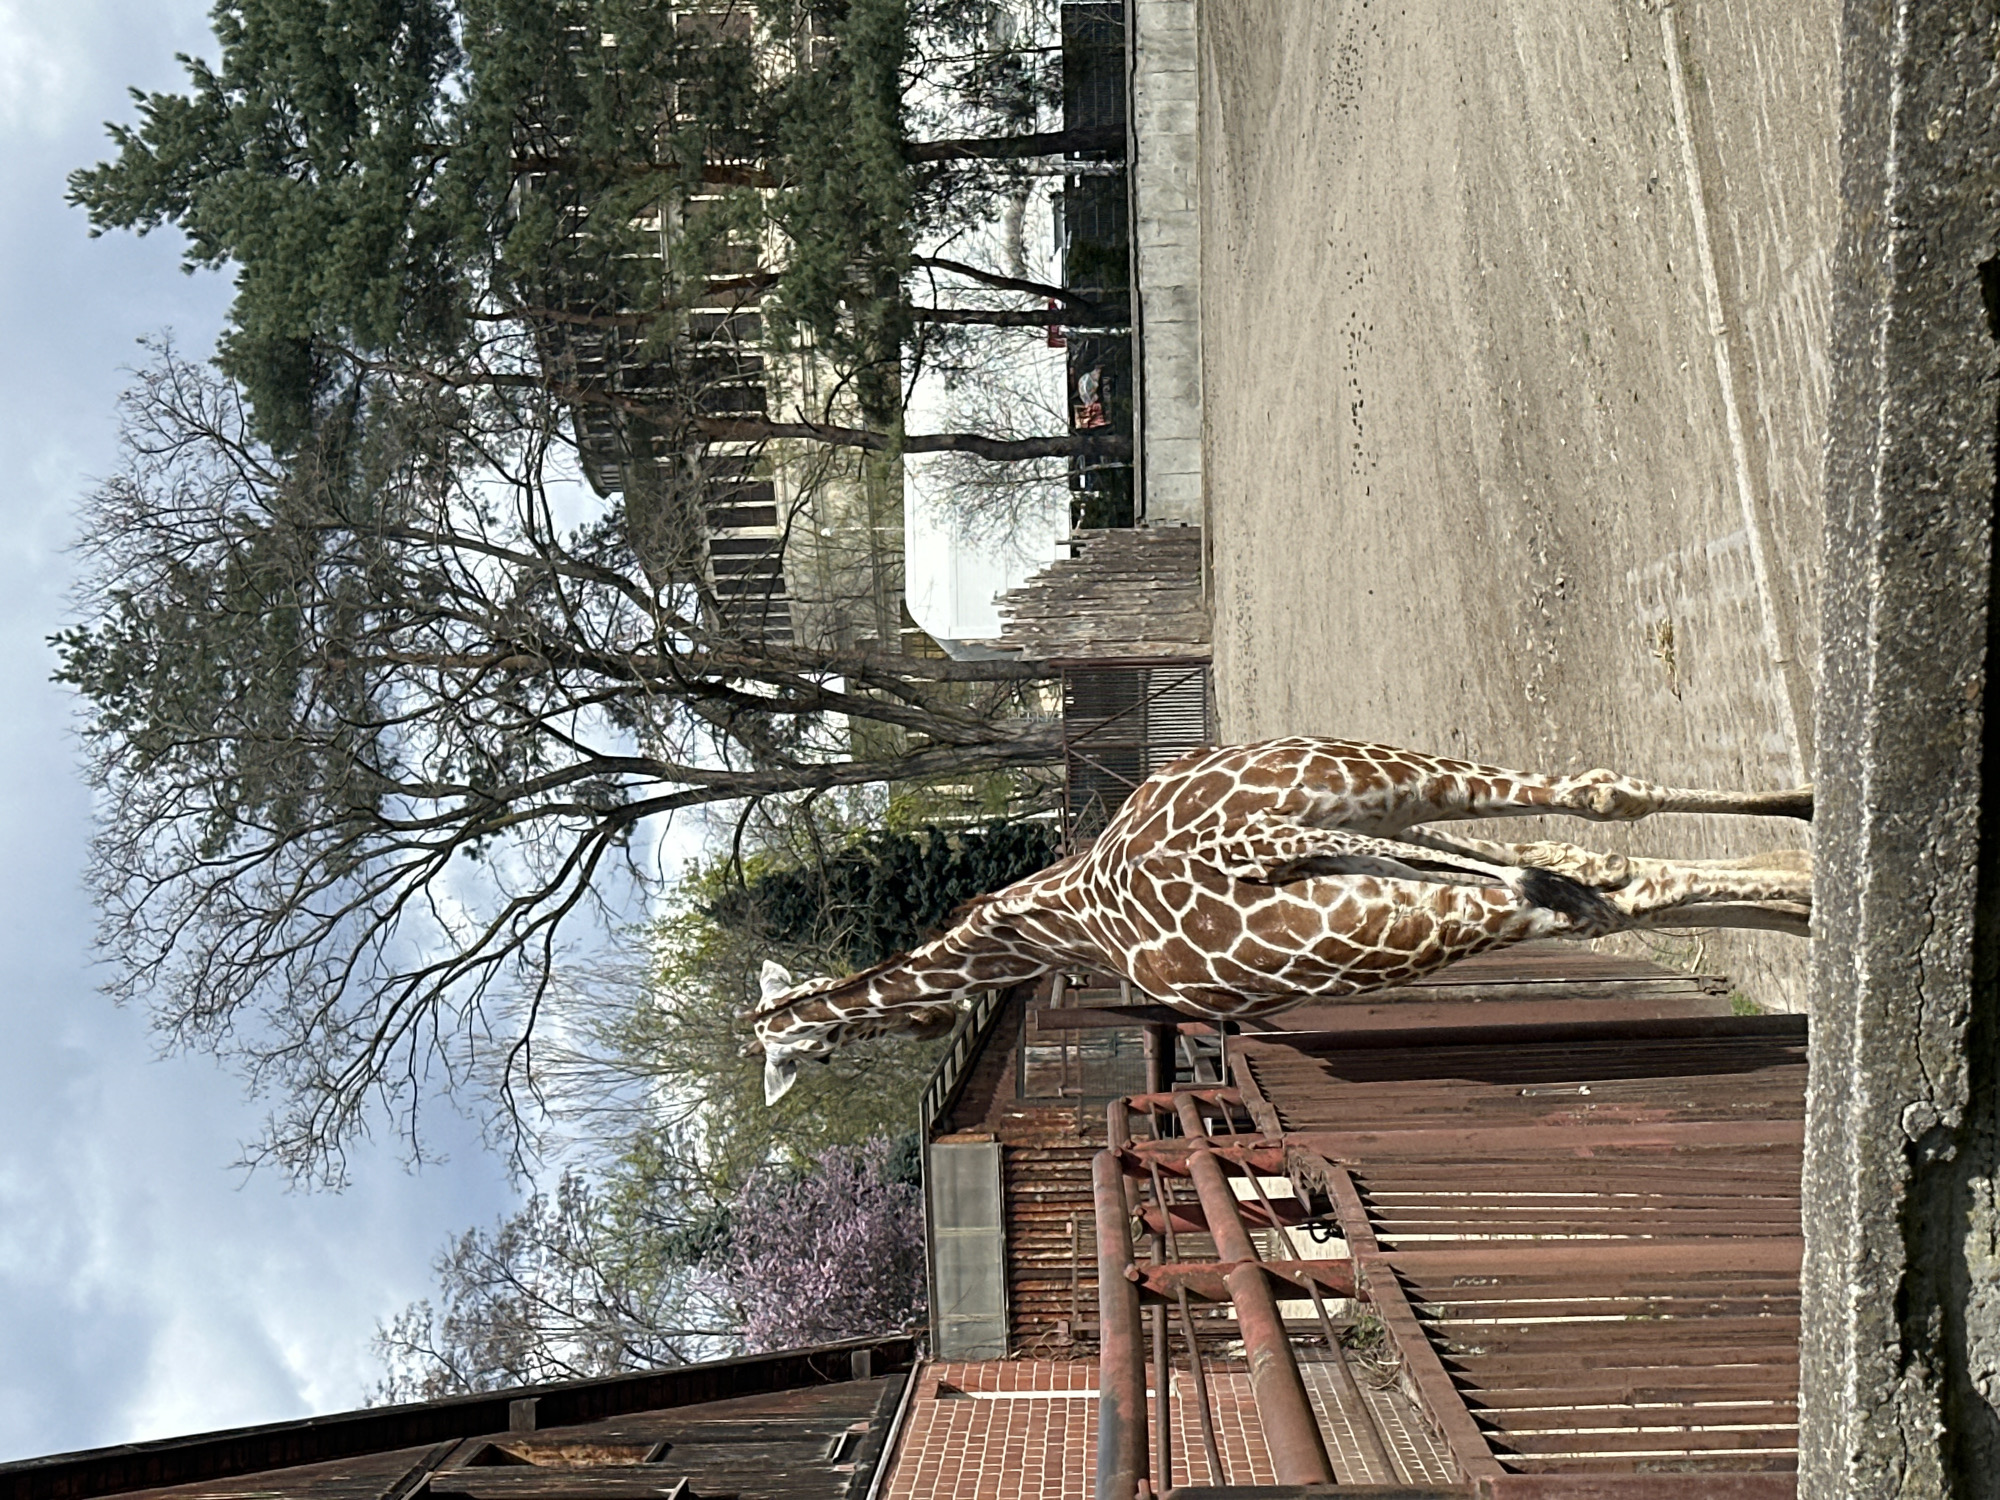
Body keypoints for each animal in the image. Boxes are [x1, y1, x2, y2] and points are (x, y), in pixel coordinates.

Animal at [746, 737, 1813, 1102]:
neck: (1040, 925)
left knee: (1576, 876)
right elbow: (1599, 864)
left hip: (1373, 897)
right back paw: (1806, 851)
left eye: (810, 1047)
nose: (907, 1030)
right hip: (1385, 815)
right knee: (1599, 829)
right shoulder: (1391, 844)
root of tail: (1244, 845)